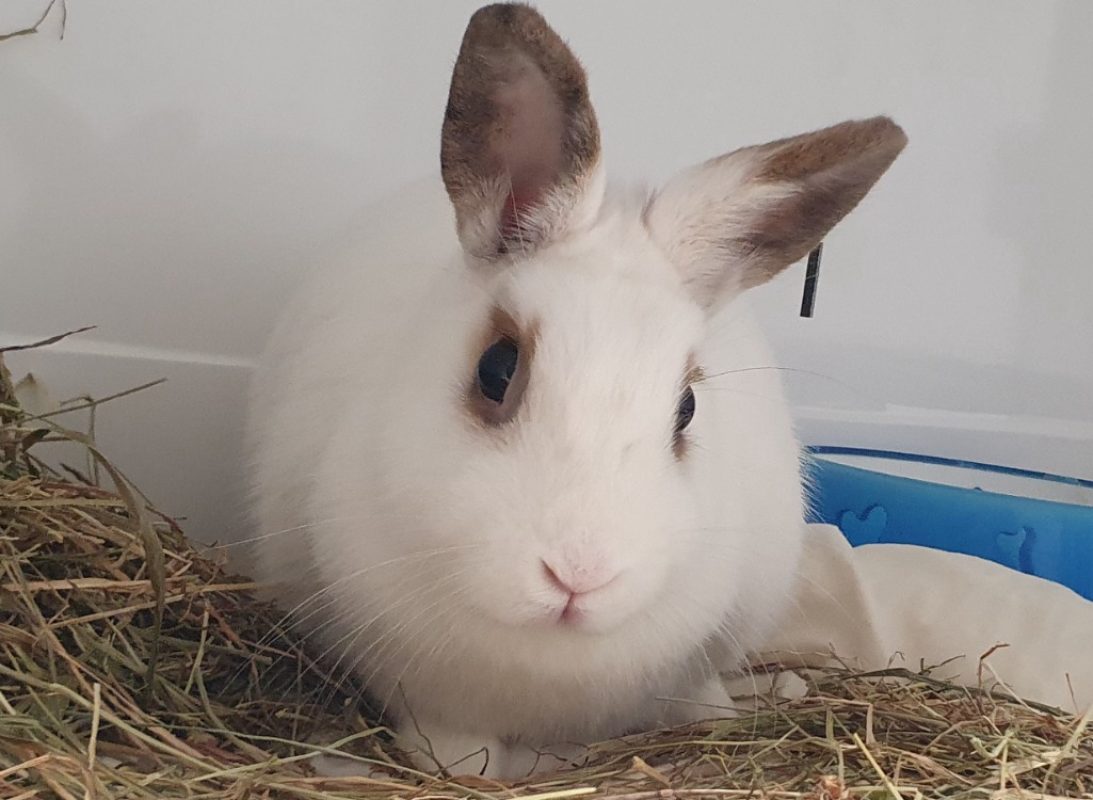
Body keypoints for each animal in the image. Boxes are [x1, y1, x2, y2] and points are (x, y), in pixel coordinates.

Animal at [246, 1, 906, 781]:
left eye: (687, 409)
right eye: (496, 369)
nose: (578, 576)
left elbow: (699, 700)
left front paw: (731, 715)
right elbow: (457, 748)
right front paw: (478, 770)